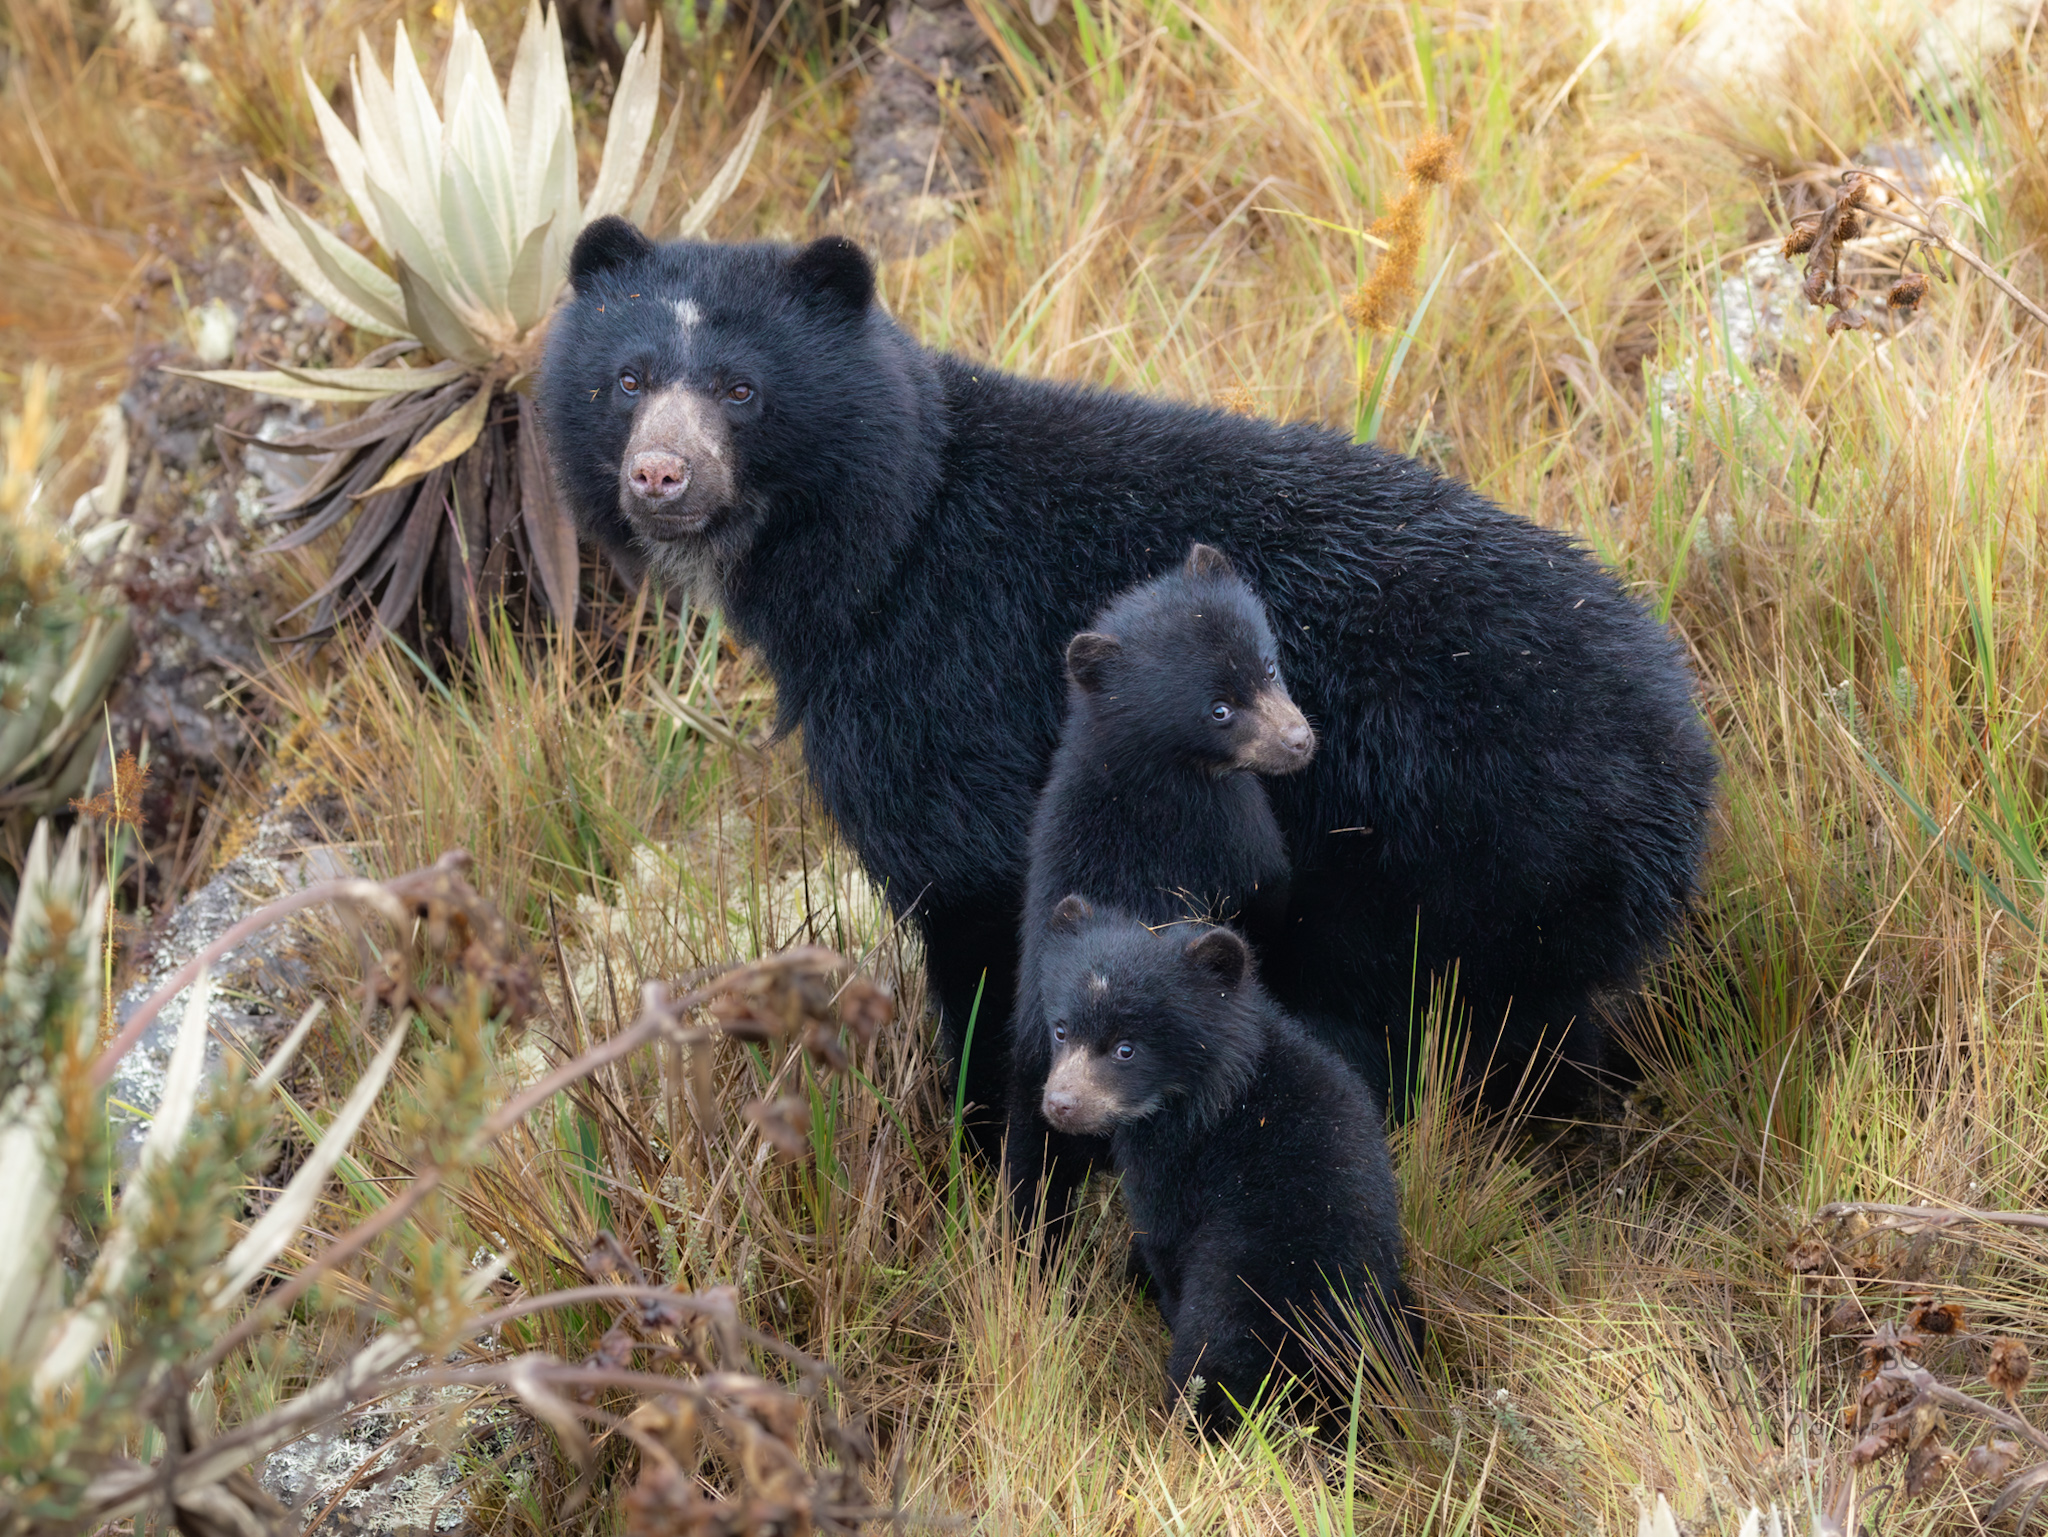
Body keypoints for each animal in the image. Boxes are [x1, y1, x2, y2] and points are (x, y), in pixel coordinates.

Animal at [538, 217, 1718, 1151]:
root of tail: (1682, 763)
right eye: (627, 380)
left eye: (741, 391)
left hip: (1446, 853)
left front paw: (978, 1157)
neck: (878, 542)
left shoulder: (940, 682)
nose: (660, 476)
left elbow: (975, 899)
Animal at [1036, 896, 1416, 1436]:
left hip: (1242, 1297)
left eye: (1126, 1048)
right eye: (1062, 1029)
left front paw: (1155, 1296)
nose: (1060, 1105)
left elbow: (1165, 1239)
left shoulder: (1176, 1164)